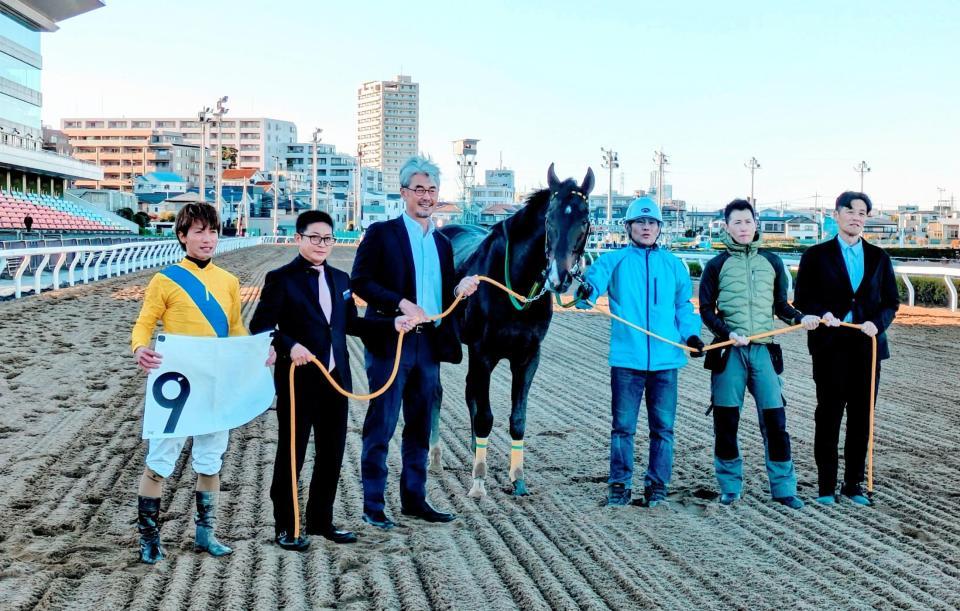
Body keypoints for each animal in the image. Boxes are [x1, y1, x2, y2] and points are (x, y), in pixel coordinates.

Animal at [430, 164, 592, 498]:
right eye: (549, 220)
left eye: (584, 221)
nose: (559, 278)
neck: (515, 286)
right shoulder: (483, 352)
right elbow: (484, 416)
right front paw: (479, 482)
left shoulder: (528, 355)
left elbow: (517, 418)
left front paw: (517, 477)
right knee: (437, 393)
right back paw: (436, 457)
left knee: (469, 392)